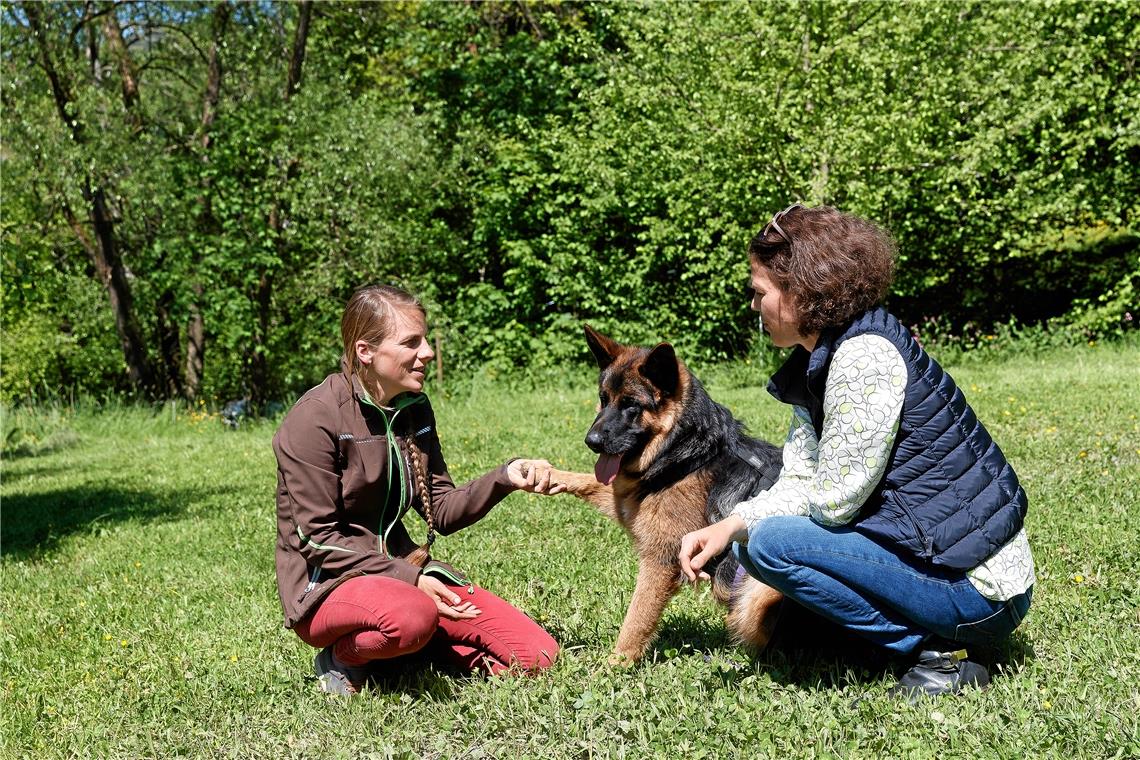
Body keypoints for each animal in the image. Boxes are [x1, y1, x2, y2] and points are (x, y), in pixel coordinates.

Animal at [549, 328, 784, 665]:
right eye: (603, 400)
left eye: (631, 405)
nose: (590, 441)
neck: (688, 454)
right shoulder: (629, 501)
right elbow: (591, 482)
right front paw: (541, 473)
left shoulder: (660, 563)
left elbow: (635, 621)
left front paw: (612, 668)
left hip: (757, 596)